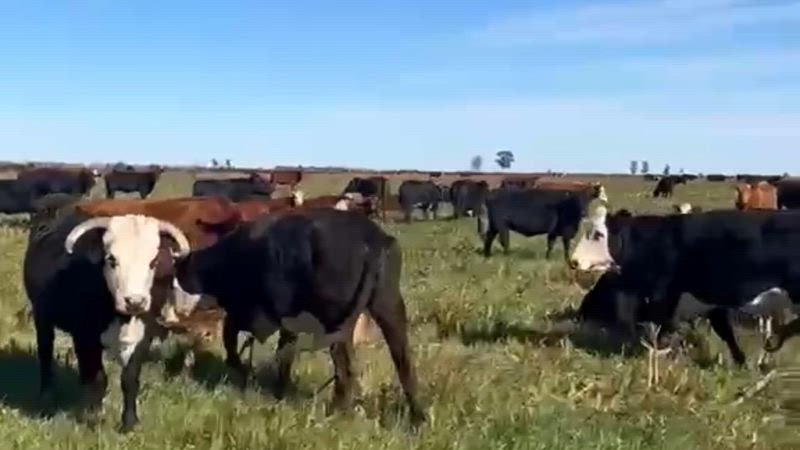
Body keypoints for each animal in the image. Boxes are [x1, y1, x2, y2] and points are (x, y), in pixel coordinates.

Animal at [24, 200, 192, 432]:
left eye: (153, 261)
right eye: (112, 259)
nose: (135, 301)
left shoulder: (144, 335)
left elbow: (129, 378)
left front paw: (129, 422)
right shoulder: (85, 336)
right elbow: (98, 378)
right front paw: (94, 418)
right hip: (42, 317)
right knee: (46, 352)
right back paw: (47, 394)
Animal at [170, 208, 426, 425]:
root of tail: (371, 239)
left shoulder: (252, 313)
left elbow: (235, 341)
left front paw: (247, 375)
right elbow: (284, 352)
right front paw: (279, 389)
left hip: (336, 322)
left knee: (346, 368)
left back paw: (336, 412)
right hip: (388, 308)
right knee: (403, 362)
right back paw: (417, 418)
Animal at [569, 206, 800, 366]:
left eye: (598, 234)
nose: (574, 261)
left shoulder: (664, 297)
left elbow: (661, 332)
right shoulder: (709, 303)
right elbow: (725, 332)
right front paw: (741, 361)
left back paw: (775, 339)